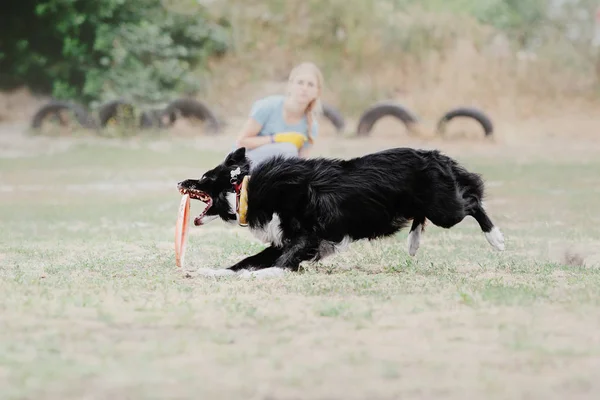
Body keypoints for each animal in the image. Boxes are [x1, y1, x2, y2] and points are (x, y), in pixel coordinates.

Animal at [176, 147, 504, 278]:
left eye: (203, 179)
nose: (179, 182)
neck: (243, 191)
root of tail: (436, 155)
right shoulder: (282, 241)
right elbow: (242, 263)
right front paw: (209, 271)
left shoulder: (305, 238)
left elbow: (277, 266)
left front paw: (266, 275)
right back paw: (414, 242)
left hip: (445, 211)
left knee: (473, 199)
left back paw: (496, 238)